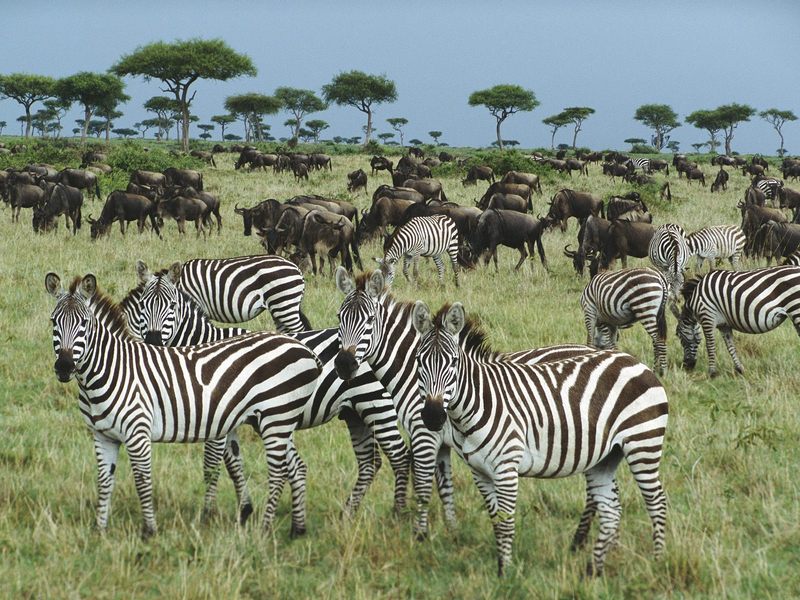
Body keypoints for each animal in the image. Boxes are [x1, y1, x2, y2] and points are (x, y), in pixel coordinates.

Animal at [46, 272, 322, 536]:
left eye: (84, 323)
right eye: (53, 322)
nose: (64, 367)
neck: (112, 369)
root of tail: (302, 347)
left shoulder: (138, 433)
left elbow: (143, 481)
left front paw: (149, 531)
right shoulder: (103, 435)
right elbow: (104, 482)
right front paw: (99, 531)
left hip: (276, 418)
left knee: (277, 473)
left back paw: (264, 531)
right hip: (276, 420)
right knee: (295, 468)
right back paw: (297, 529)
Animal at [334, 268, 592, 540]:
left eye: (370, 320)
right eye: (339, 317)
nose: (343, 364)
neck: (414, 373)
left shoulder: (425, 433)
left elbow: (423, 484)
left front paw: (420, 534)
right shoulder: (442, 439)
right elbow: (444, 485)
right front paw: (452, 530)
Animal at [412, 302, 668, 580]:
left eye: (454, 362)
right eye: (418, 361)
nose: (433, 416)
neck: (479, 402)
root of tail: (634, 361)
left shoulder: (506, 468)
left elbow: (506, 523)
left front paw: (506, 575)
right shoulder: (479, 472)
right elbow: (495, 521)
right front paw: (500, 569)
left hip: (643, 443)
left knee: (657, 502)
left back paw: (656, 563)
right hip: (605, 458)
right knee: (611, 512)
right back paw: (593, 572)